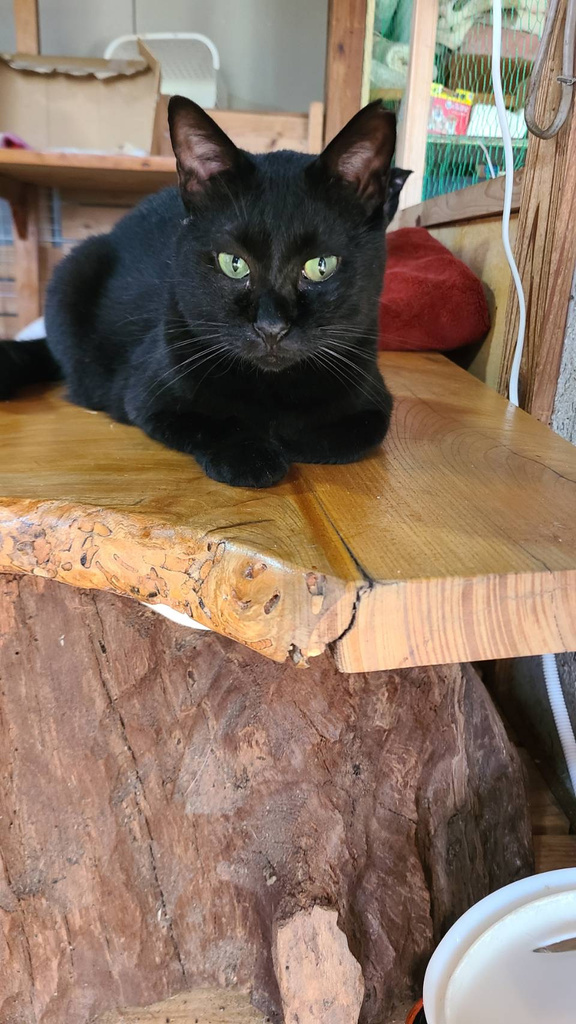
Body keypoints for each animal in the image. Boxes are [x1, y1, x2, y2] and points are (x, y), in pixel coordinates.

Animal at [0, 98, 400, 489]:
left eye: (321, 266)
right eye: (233, 264)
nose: (271, 328)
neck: (272, 389)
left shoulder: (373, 401)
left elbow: (346, 434)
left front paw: (286, 436)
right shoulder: (148, 394)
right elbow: (214, 422)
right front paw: (251, 454)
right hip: (74, 270)